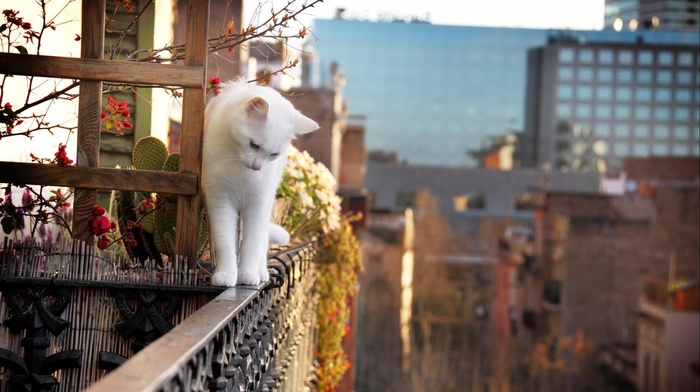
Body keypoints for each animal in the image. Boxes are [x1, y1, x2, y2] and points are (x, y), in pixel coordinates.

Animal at [201, 81, 318, 286]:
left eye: (273, 154)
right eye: (254, 145)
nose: (257, 167)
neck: (241, 171)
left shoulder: (258, 204)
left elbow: (253, 243)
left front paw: (247, 274)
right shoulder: (220, 201)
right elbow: (224, 240)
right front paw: (227, 274)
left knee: (262, 241)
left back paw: (261, 271)